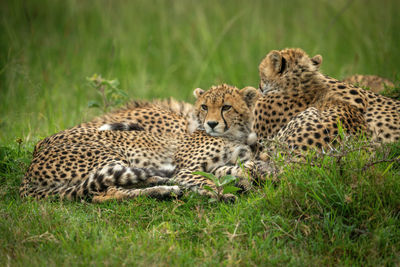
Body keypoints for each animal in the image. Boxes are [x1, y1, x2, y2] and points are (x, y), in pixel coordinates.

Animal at [21, 85, 266, 202]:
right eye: (205, 107)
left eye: (226, 107)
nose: (212, 123)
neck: (233, 135)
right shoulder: (186, 168)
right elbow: (205, 180)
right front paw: (220, 194)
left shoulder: (222, 164)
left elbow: (238, 168)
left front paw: (252, 176)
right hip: (110, 155)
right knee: (104, 192)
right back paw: (164, 189)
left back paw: (162, 185)